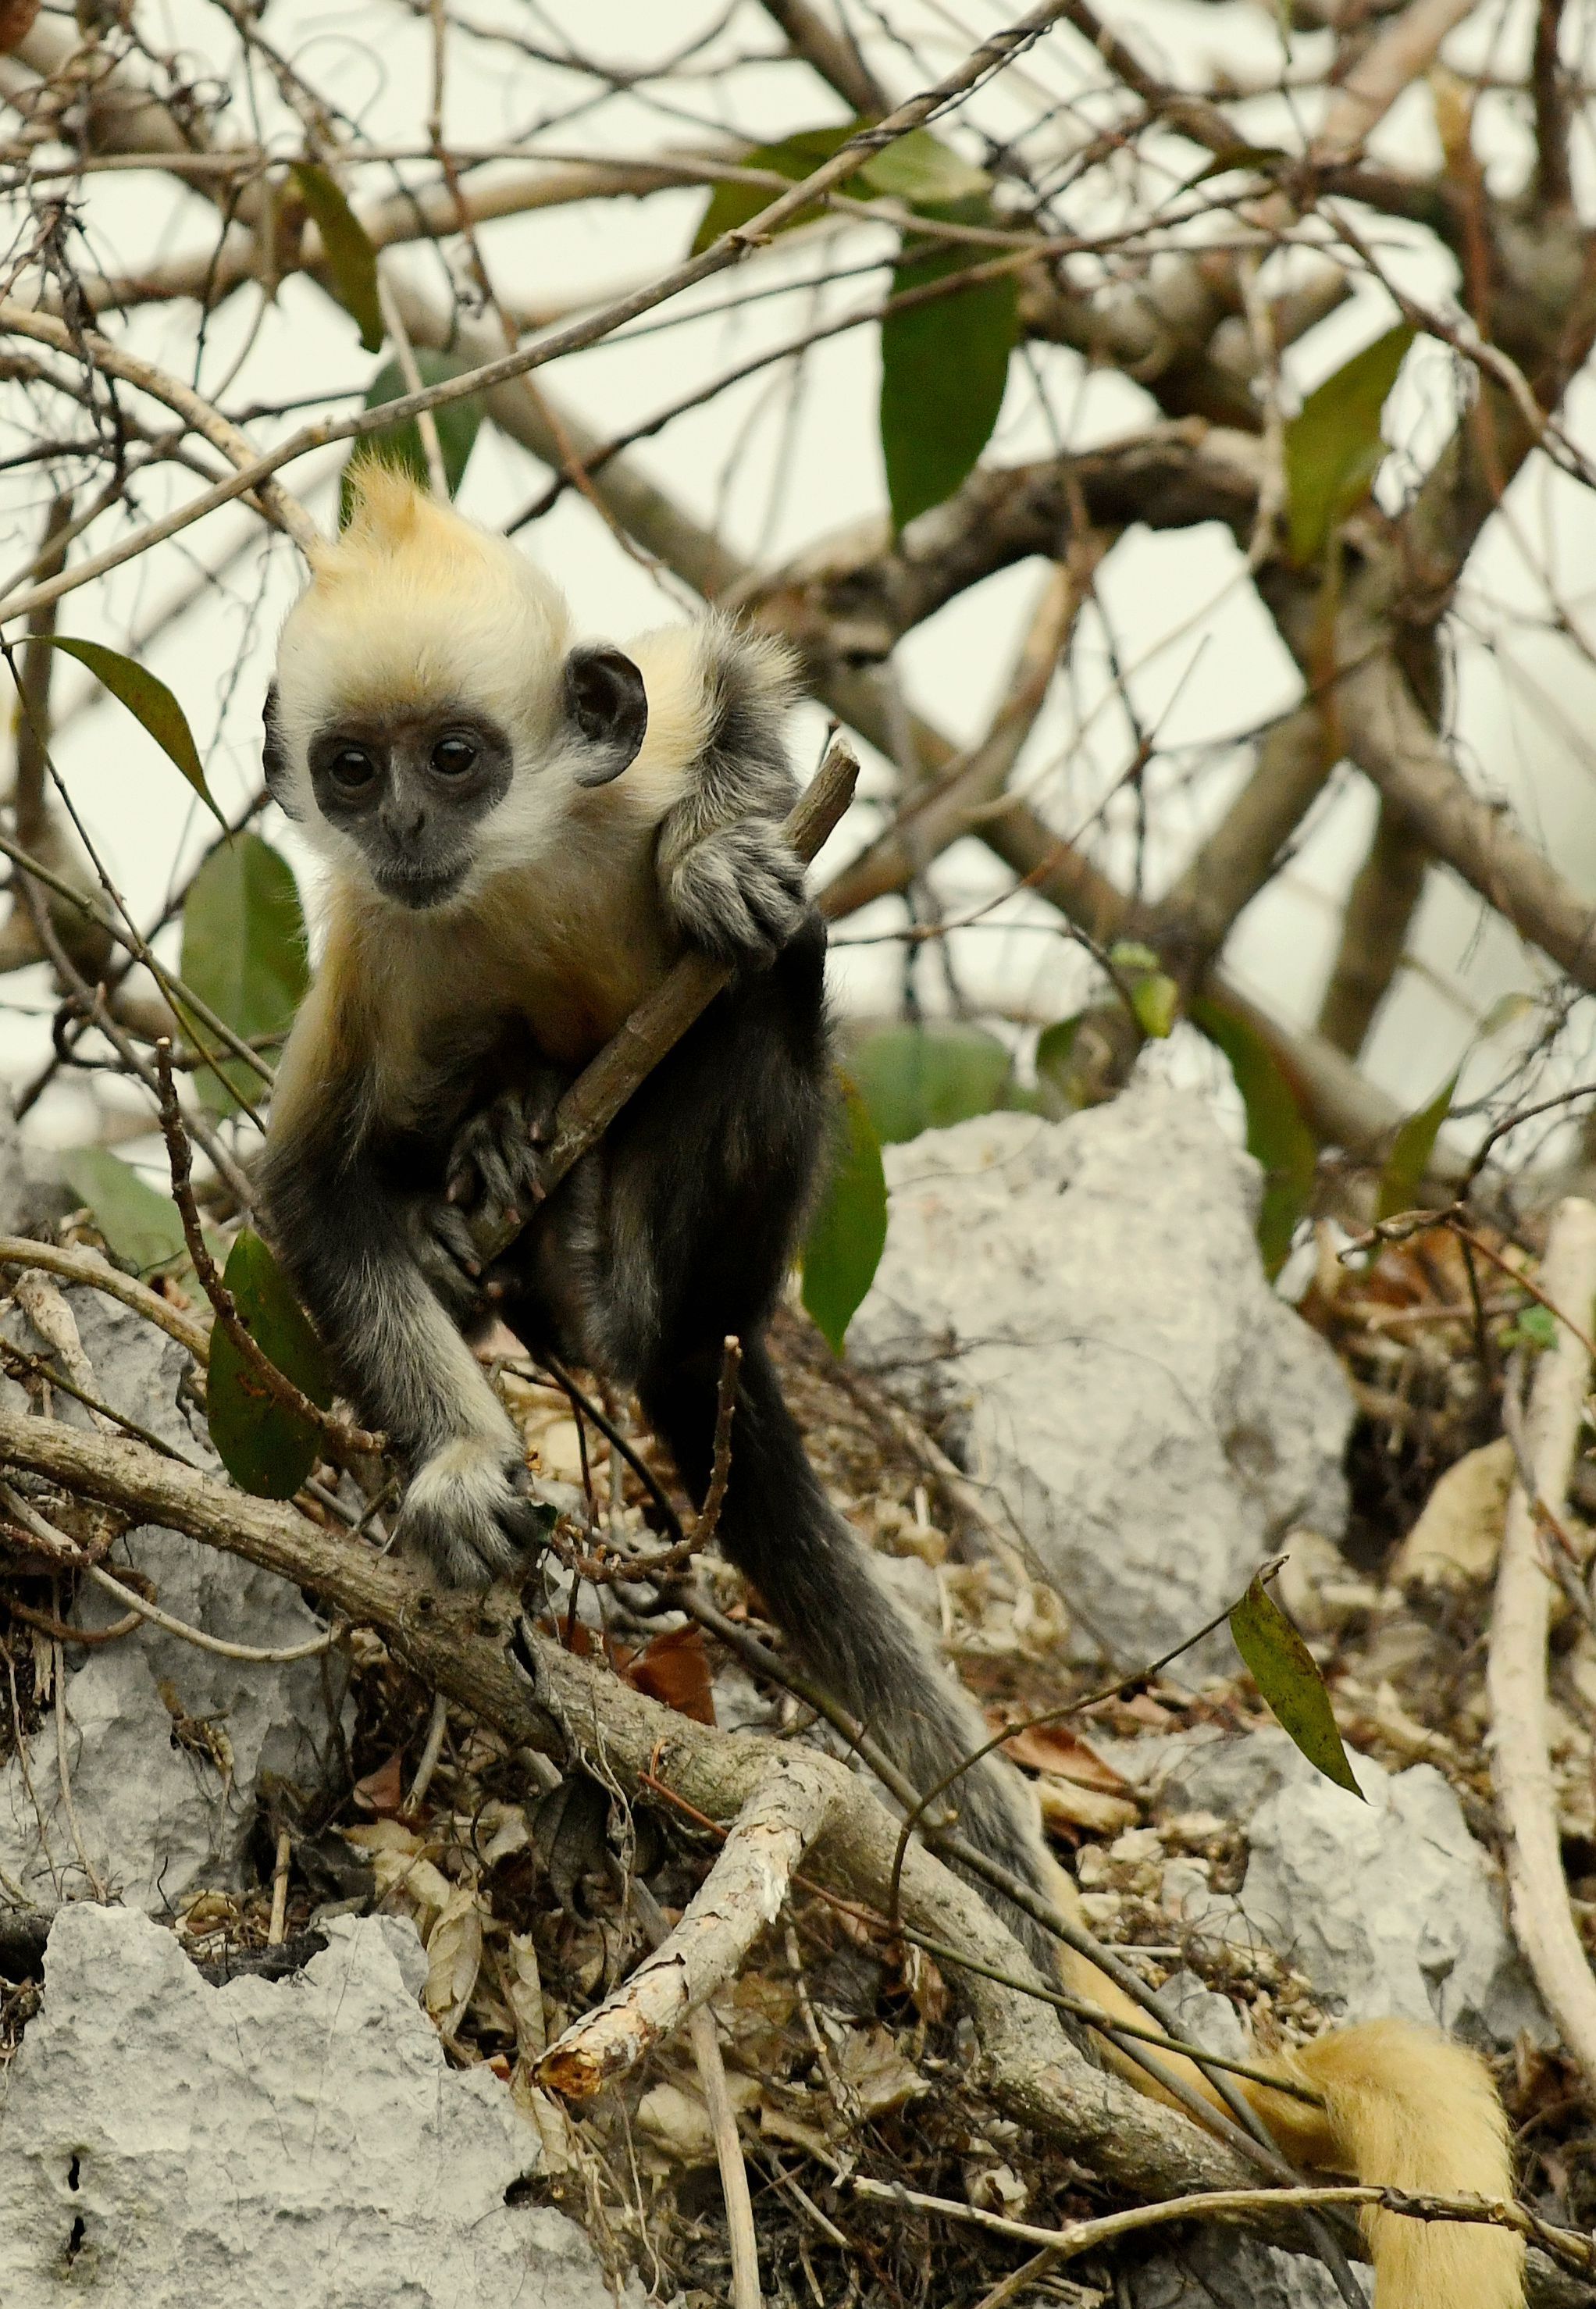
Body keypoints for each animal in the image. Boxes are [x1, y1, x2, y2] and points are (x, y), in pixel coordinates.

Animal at [262, 473, 1524, 2309]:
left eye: (456, 756)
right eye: (351, 768)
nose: (406, 824)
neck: (497, 885)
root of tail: (696, 1340)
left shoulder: (617, 759)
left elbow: (733, 677)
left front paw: (717, 846)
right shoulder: (374, 950)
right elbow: (313, 1199)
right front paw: (448, 1474)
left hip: (724, 1217)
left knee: (762, 1004)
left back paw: (609, 1197)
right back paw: (493, 1184)